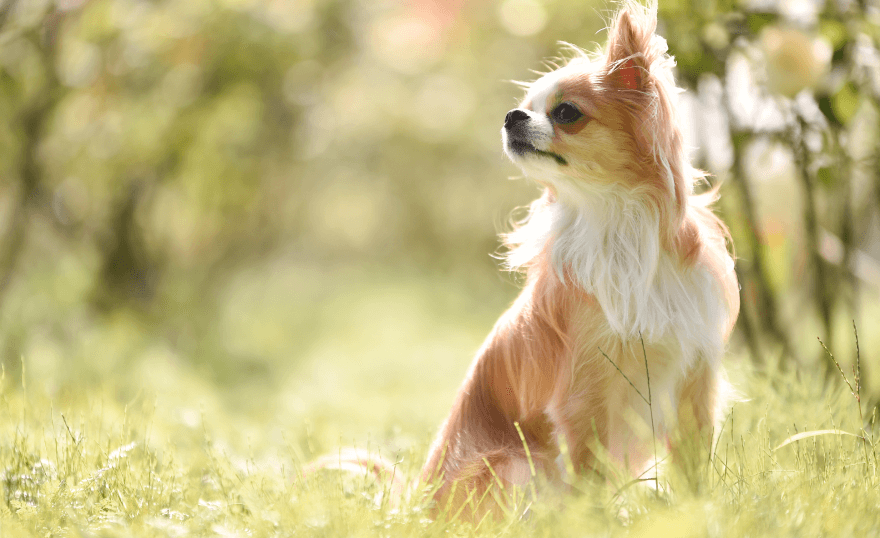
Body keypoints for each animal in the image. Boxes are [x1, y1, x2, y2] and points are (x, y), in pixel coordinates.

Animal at [422, 0, 740, 520]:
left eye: (566, 113)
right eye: (527, 105)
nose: (511, 115)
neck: (615, 221)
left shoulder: (695, 379)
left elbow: (693, 465)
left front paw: (699, 511)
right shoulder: (584, 394)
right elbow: (589, 471)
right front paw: (596, 521)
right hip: (514, 464)